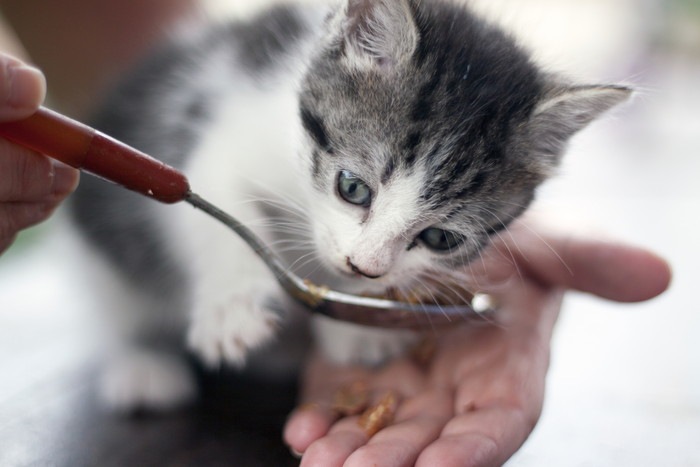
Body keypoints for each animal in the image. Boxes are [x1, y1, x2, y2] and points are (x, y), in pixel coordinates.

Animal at [69, 0, 628, 410]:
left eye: (440, 238)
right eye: (352, 188)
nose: (364, 267)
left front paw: (356, 330)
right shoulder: (222, 139)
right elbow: (219, 214)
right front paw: (233, 308)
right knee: (117, 304)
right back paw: (140, 363)